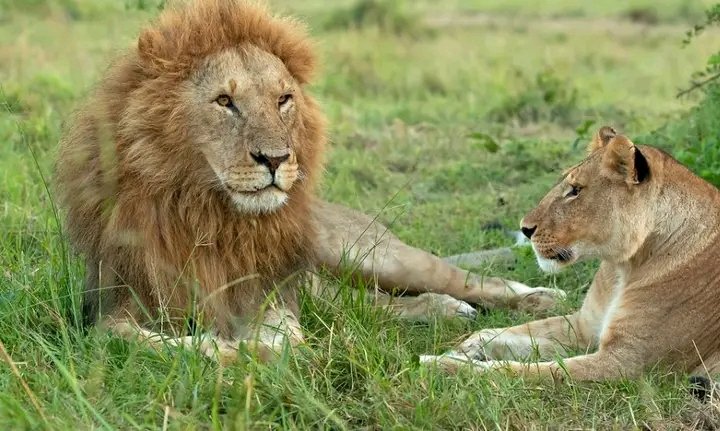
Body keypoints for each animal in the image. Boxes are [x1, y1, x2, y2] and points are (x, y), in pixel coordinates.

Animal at [55, 0, 564, 363]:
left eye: (283, 99)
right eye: (224, 102)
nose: (277, 159)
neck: (206, 213)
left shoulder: (268, 289)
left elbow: (284, 335)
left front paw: (269, 352)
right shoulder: (113, 305)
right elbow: (131, 340)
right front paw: (226, 350)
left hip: (368, 253)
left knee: (470, 279)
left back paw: (539, 298)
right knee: (371, 304)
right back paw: (443, 310)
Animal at [420, 126, 720, 387]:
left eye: (575, 191)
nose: (525, 229)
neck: (624, 267)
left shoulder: (627, 365)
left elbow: (525, 371)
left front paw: (438, 365)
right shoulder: (584, 325)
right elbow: (517, 335)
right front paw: (470, 346)